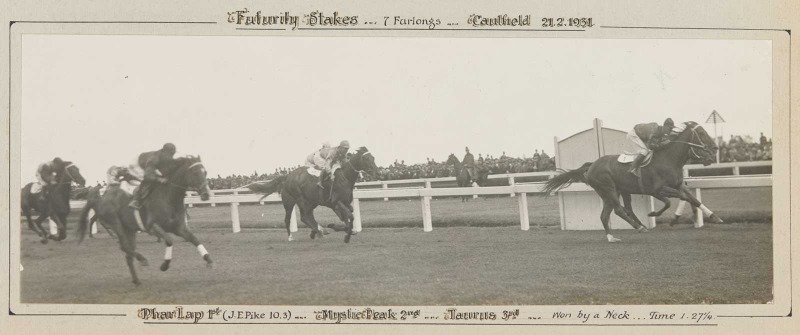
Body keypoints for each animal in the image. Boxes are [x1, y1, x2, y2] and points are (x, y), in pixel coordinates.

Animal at [75, 157, 211, 286]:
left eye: (205, 172)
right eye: (194, 172)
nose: (206, 194)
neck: (168, 198)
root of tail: (99, 199)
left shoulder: (179, 227)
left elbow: (194, 239)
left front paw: (208, 259)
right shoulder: (152, 226)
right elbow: (169, 240)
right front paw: (165, 265)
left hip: (130, 230)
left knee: (128, 254)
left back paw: (136, 280)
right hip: (116, 224)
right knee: (123, 246)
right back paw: (142, 259)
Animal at [248, 147, 376, 244]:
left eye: (373, 157)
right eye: (366, 158)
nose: (377, 172)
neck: (344, 178)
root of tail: (287, 176)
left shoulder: (341, 204)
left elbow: (347, 218)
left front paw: (343, 230)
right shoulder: (336, 202)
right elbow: (350, 217)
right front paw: (344, 235)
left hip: (311, 202)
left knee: (308, 216)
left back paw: (317, 231)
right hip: (294, 201)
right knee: (296, 218)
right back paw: (297, 235)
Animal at [544, 122, 720, 243]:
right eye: (702, 133)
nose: (715, 148)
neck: (668, 160)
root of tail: (591, 166)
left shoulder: (677, 185)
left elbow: (692, 198)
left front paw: (714, 217)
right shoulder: (657, 190)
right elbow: (674, 200)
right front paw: (660, 215)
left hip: (616, 192)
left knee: (608, 214)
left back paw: (613, 237)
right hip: (609, 190)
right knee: (619, 210)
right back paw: (640, 227)